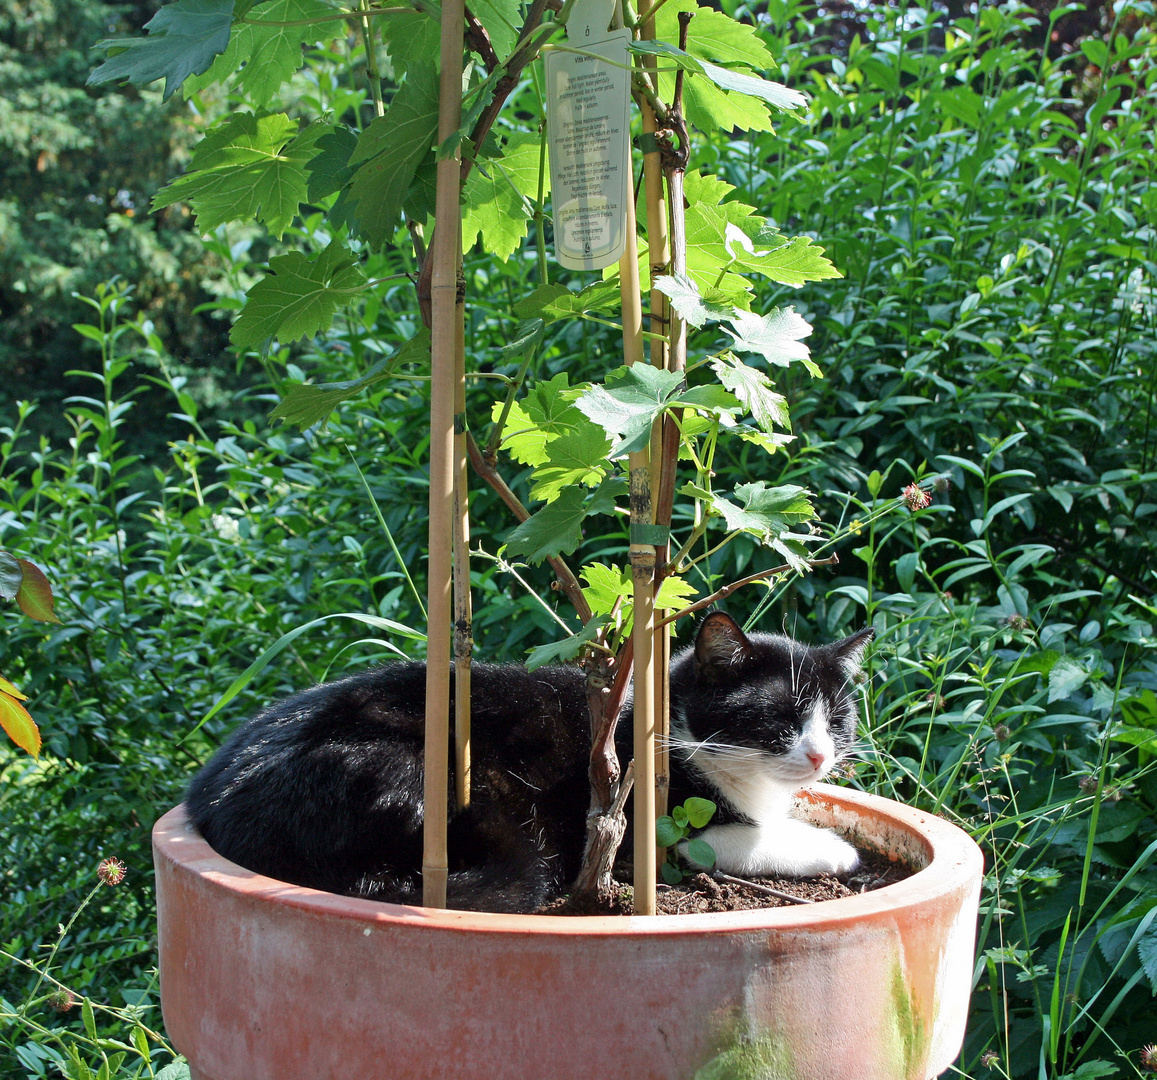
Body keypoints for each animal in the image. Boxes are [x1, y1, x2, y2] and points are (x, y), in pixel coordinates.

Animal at [187, 615, 870, 912]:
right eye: (778, 718)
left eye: (838, 718)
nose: (819, 753)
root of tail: (213, 808)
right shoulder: (642, 824)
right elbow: (740, 837)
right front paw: (835, 849)